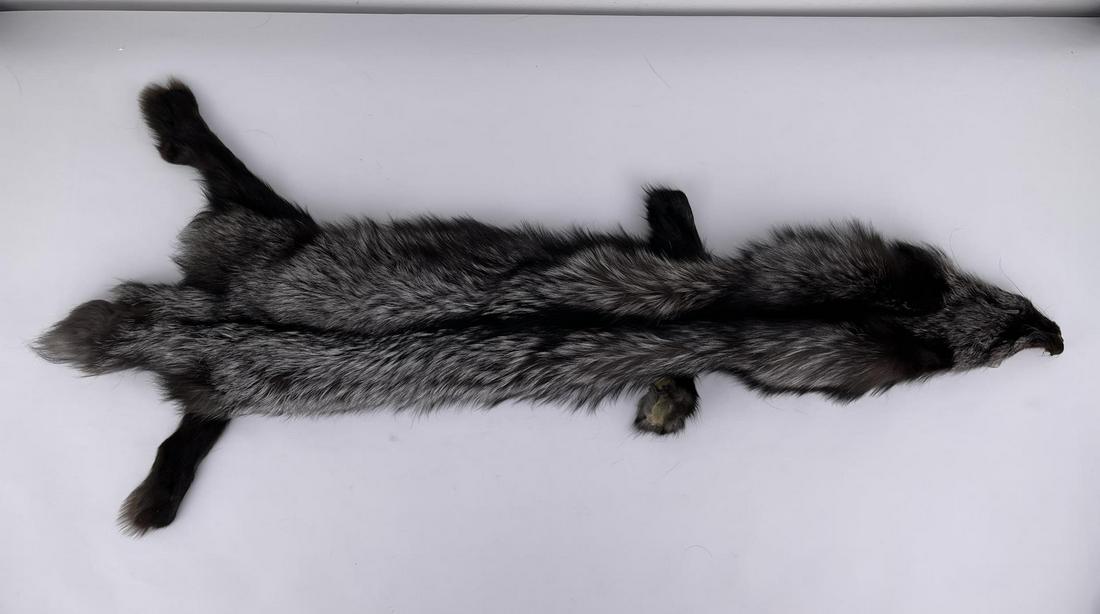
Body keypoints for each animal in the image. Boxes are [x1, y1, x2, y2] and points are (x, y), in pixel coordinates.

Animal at [35, 79, 1063, 535]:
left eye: (987, 303)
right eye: (971, 344)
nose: (1051, 332)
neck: (727, 312)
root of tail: (178, 320)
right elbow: (675, 234)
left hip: (247, 275)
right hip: (263, 246)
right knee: (224, 182)